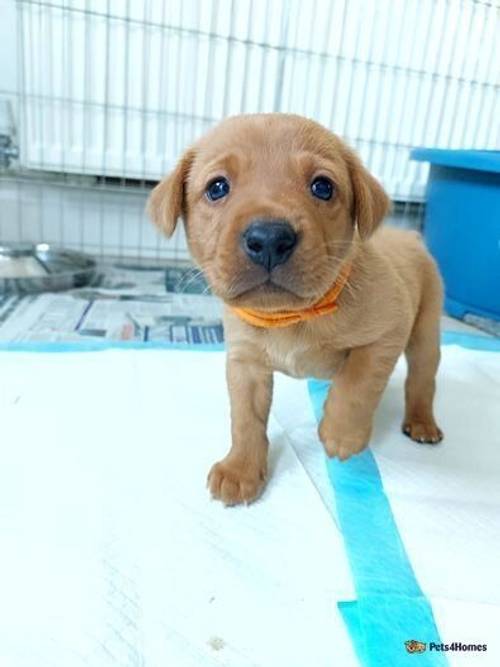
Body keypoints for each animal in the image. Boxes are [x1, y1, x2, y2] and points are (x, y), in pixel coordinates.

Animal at [147, 113, 442, 506]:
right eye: (217, 187)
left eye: (322, 187)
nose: (270, 238)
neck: (290, 316)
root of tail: (411, 235)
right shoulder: (245, 362)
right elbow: (245, 419)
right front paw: (241, 470)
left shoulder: (388, 331)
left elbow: (357, 384)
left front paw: (341, 435)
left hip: (425, 333)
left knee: (421, 381)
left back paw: (422, 422)